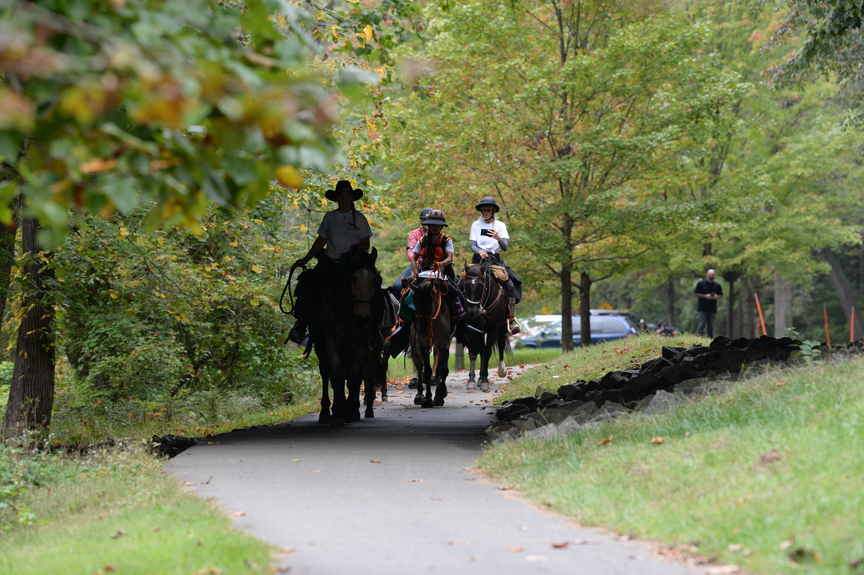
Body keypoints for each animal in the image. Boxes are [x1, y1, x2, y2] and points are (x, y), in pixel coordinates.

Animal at [409, 273, 452, 407]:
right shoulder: (423, 344)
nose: (421, 330)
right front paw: (427, 399)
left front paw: (439, 395)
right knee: (419, 367)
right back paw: (419, 395)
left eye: (429, 301)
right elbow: (426, 371)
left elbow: (442, 369)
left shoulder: (444, 343)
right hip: (416, 345)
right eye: (414, 300)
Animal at [459, 262, 508, 392]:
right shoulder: (472, 329)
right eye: (465, 286)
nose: (472, 312)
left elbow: (486, 353)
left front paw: (485, 381)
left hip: (501, 328)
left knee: (500, 345)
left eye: (481, 286)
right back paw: (480, 378)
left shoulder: (492, 328)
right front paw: (471, 380)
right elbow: (473, 353)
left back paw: (500, 370)